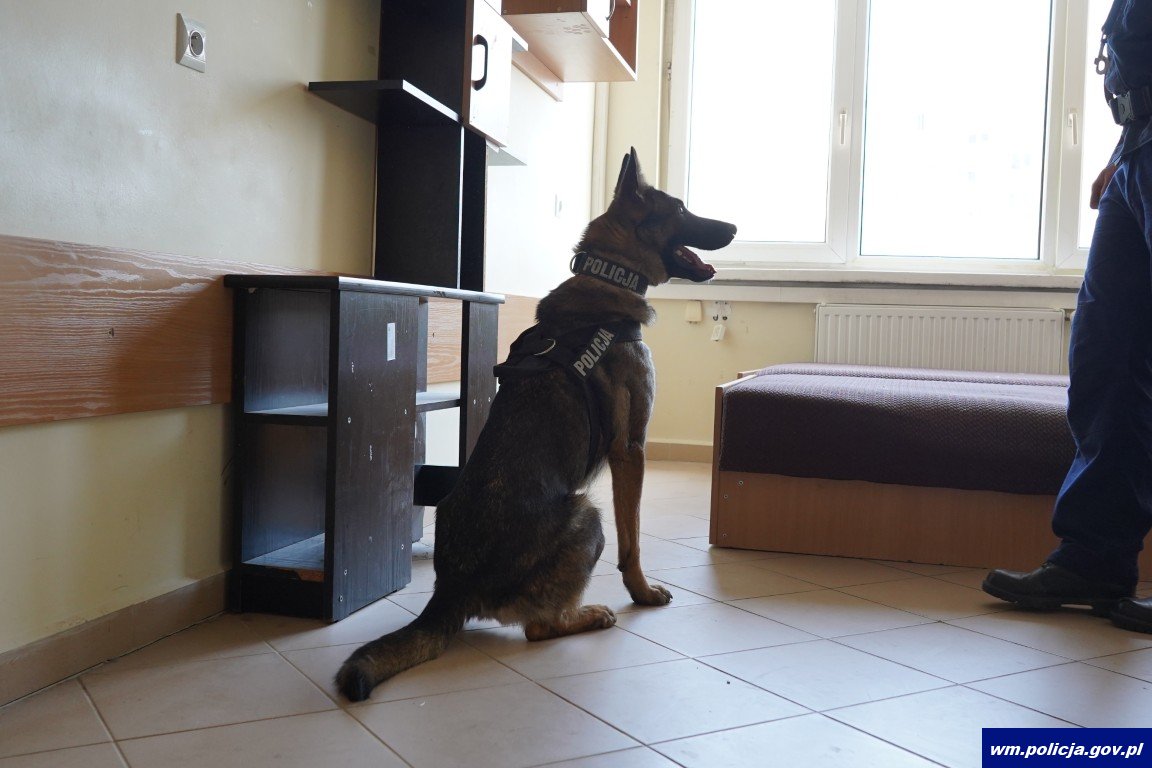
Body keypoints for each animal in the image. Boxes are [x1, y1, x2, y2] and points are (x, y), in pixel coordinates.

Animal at [335, 148, 736, 702]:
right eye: (679, 209)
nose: (735, 227)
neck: (608, 277)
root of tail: (450, 590)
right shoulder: (631, 449)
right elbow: (632, 539)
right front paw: (641, 591)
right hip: (587, 515)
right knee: (540, 627)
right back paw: (590, 614)